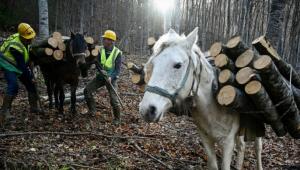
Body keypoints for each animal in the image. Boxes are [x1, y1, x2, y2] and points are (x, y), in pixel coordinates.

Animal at [139, 28, 262, 170]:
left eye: (178, 65)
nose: (147, 110)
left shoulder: (228, 142)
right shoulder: (205, 138)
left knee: (257, 147)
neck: (213, 106)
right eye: (153, 64)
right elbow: (213, 165)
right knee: (242, 146)